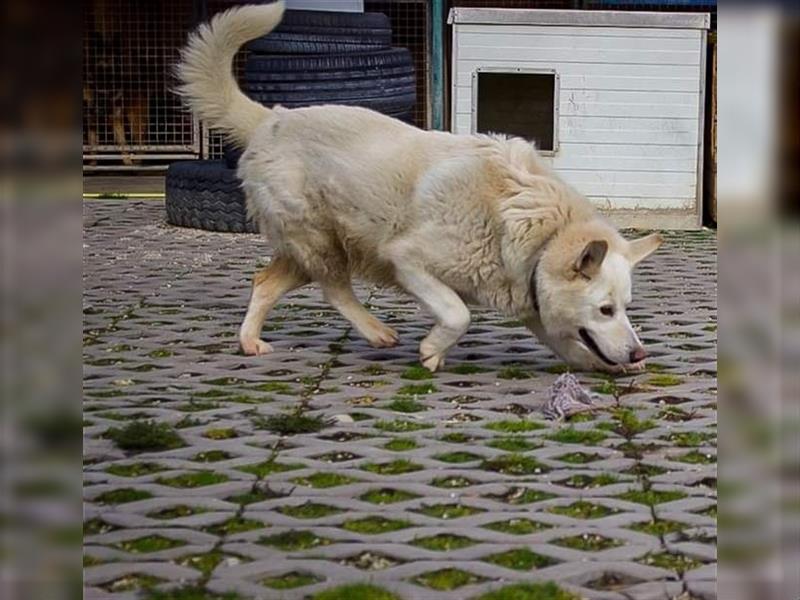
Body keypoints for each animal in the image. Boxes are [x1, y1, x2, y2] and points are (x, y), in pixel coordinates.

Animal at [180, 2, 664, 372]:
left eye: (626, 307)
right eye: (605, 309)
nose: (639, 351)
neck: (533, 233)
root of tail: (272, 117)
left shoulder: (540, 313)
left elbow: (579, 351)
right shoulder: (407, 260)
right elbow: (458, 313)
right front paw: (433, 350)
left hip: (309, 250)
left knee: (264, 283)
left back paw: (250, 342)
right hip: (325, 241)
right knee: (334, 289)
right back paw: (377, 332)